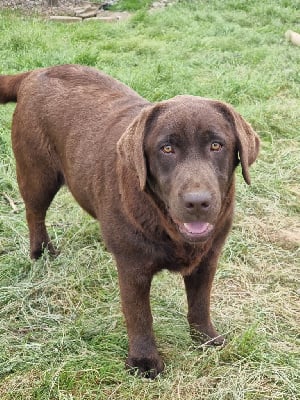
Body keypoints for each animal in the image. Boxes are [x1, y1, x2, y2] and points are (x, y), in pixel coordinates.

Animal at [0, 65, 258, 378]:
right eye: (166, 149)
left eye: (216, 145)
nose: (197, 202)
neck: (165, 224)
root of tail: (35, 72)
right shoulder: (132, 267)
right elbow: (139, 315)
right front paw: (144, 360)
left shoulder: (208, 258)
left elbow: (200, 303)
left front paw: (205, 338)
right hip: (38, 175)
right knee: (34, 213)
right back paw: (41, 253)